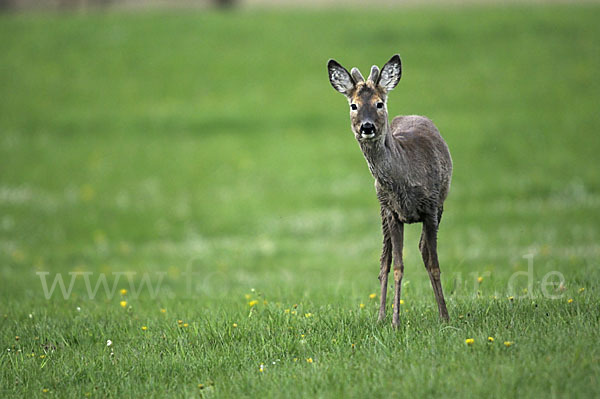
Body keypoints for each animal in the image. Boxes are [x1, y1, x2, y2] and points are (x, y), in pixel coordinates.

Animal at [328, 54, 450, 326]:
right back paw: (381, 316)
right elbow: (396, 266)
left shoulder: (431, 208)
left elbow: (434, 264)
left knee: (423, 250)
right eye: (353, 105)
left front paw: (445, 316)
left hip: (440, 206)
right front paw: (394, 321)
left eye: (379, 103)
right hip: (382, 211)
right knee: (385, 259)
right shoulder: (392, 212)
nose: (367, 127)